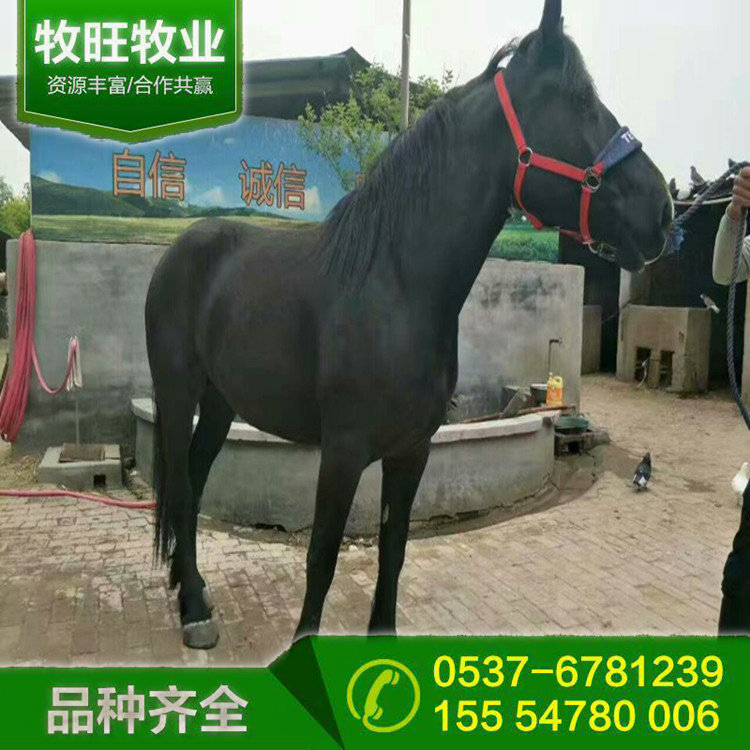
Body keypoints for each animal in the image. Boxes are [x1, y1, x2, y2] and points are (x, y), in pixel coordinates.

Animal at [146, 0, 673, 649]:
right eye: (578, 100)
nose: (663, 209)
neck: (394, 286)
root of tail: (182, 250)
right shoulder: (343, 452)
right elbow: (321, 560)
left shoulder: (412, 453)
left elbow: (392, 556)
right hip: (177, 393)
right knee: (179, 483)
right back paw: (193, 609)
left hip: (221, 401)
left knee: (192, 482)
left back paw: (190, 591)